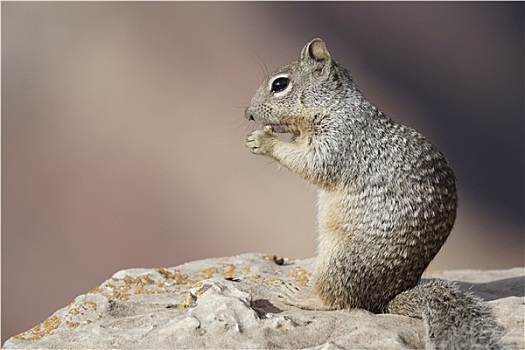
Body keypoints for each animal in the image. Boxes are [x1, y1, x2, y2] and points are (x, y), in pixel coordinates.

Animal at [244, 38, 502, 350]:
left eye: (280, 84)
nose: (248, 114)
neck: (336, 105)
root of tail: (386, 300)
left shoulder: (340, 139)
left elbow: (311, 163)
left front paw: (263, 140)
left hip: (338, 258)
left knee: (338, 300)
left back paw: (300, 295)